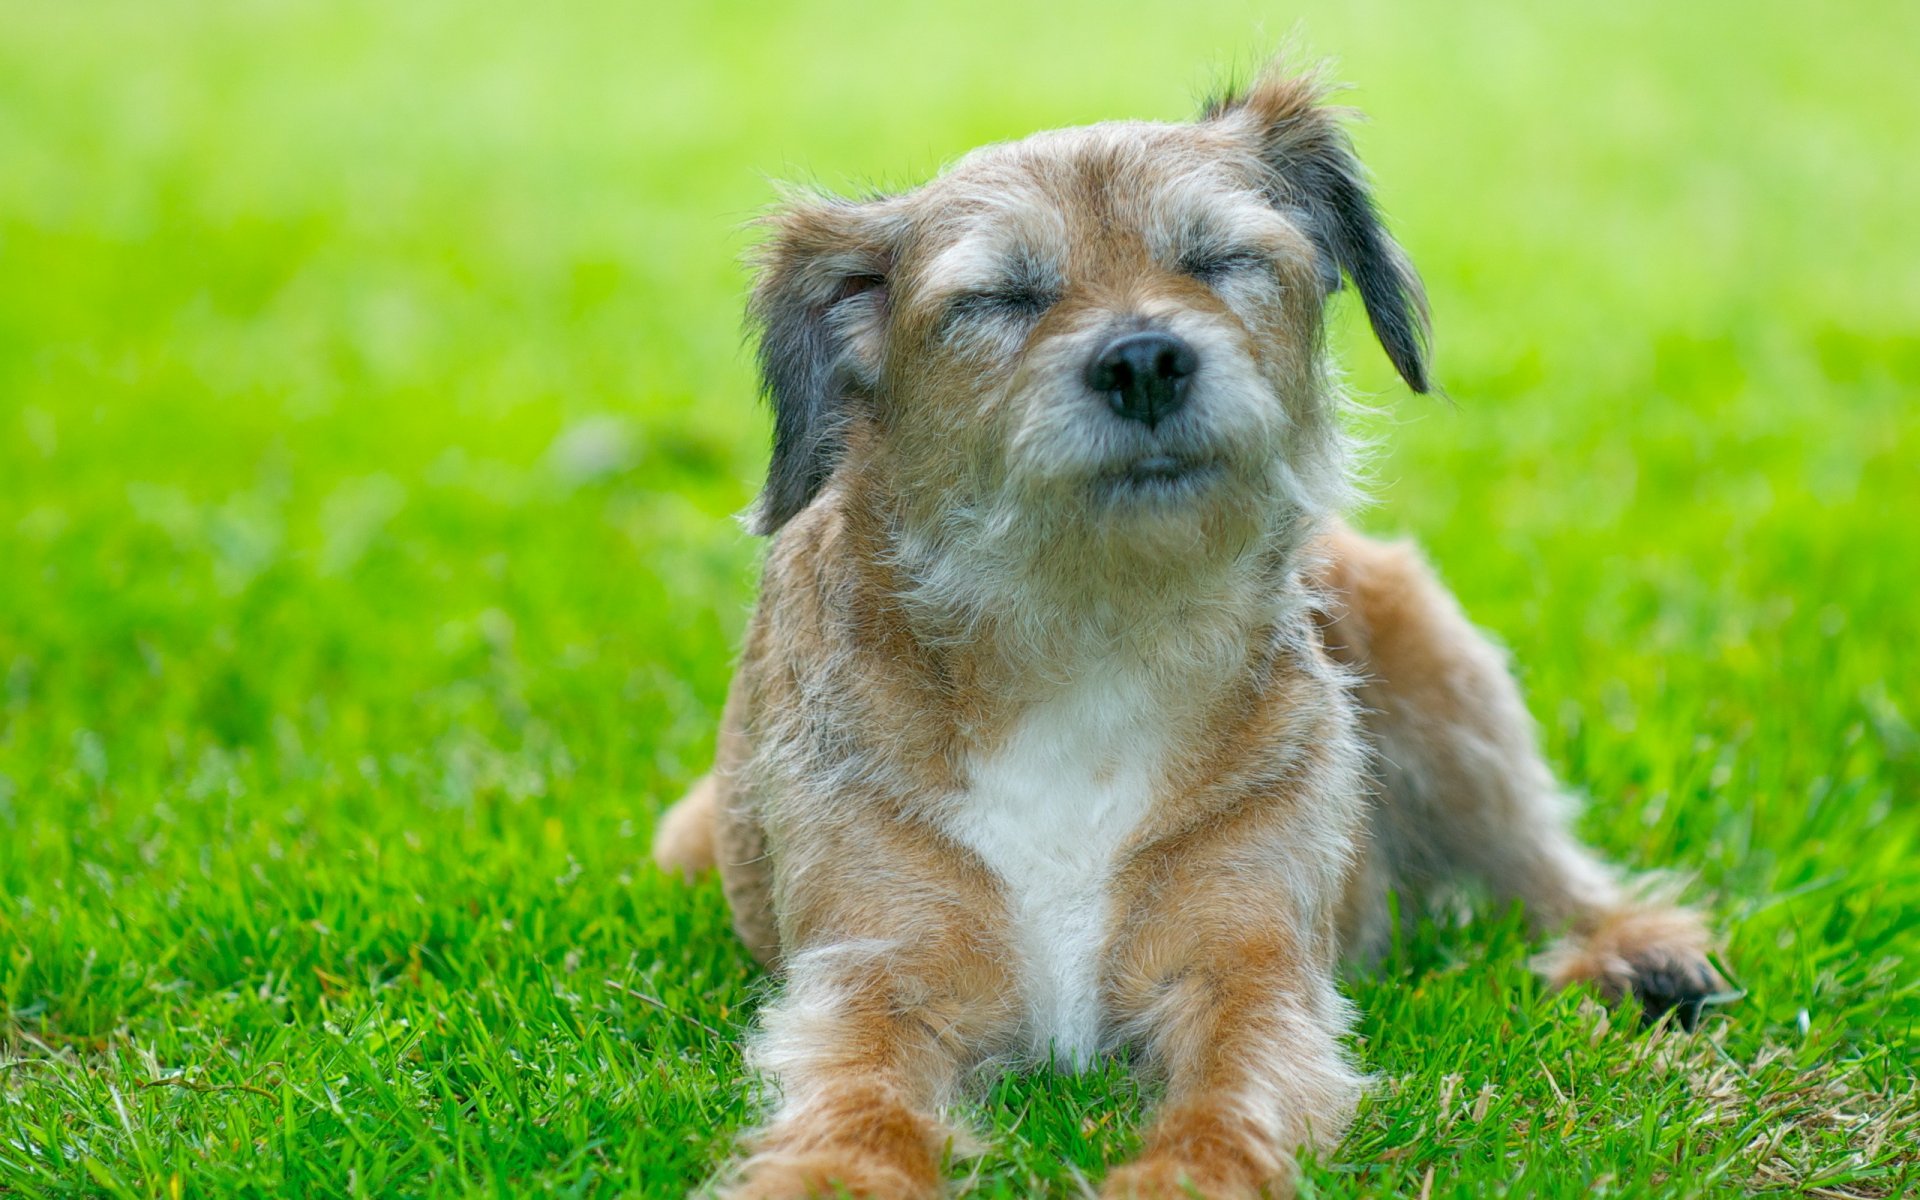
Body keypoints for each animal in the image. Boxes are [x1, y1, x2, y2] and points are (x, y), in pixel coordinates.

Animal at [652, 63, 1735, 1198]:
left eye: (1217, 259)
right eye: (1001, 299)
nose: (1143, 361)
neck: (1092, 635)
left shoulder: (1249, 973)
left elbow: (1226, 1107)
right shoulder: (875, 979)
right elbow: (857, 1108)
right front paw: (827, 1173)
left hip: (1439, 672)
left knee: (1539, 862)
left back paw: (1632, 946)